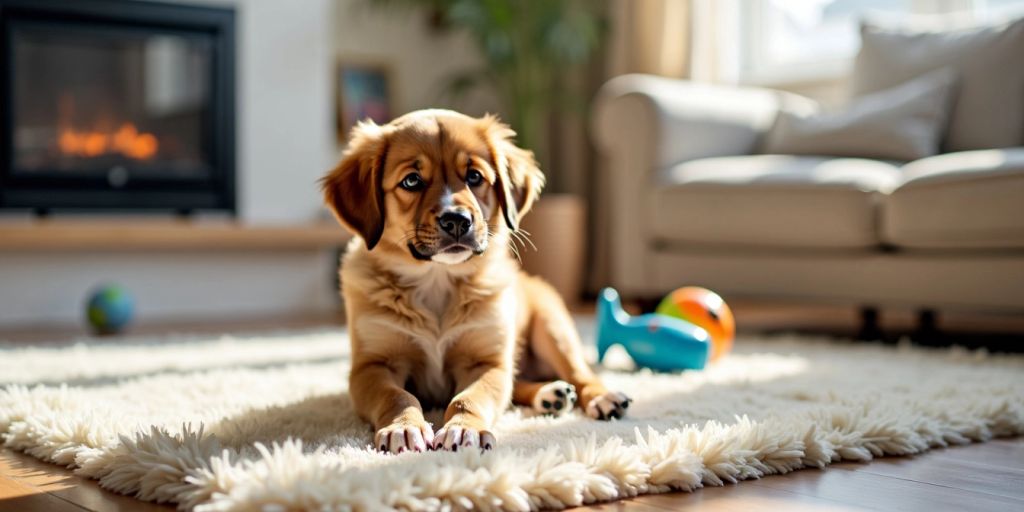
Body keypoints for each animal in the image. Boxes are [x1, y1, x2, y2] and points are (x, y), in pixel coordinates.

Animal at [319, 109, 626, 452]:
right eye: (411, 180)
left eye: (475, 177)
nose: (457, 220)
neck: (436, 280)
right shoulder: (372, 365)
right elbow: (397, 395)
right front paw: (404, 427)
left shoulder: (486, 362)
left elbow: (468, 398)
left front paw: (465, 429)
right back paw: (550, 395)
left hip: (553, 328)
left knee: (580, 373)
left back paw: (601, 397)